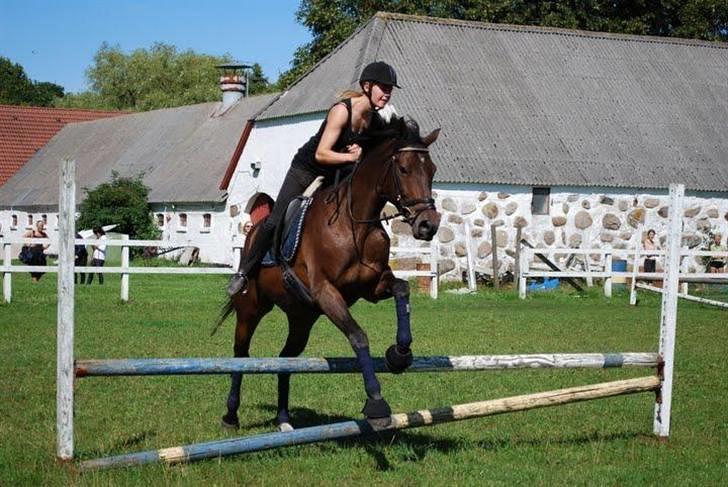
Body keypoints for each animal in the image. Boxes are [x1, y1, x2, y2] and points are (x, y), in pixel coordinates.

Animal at [216, 117, 440, 430]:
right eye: (404, 168)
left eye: (432, 170)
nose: (427, 225)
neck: (354, 224)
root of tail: (251, 234)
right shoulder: (326, 292)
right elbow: (359, 337)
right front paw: (377, 404)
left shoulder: (372, 287)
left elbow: (402, 289)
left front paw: (400, 355)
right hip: (251, 307)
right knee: (241, 354)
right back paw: (231, 415)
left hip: (301, 317)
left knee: (286, 359)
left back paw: (283, 418)